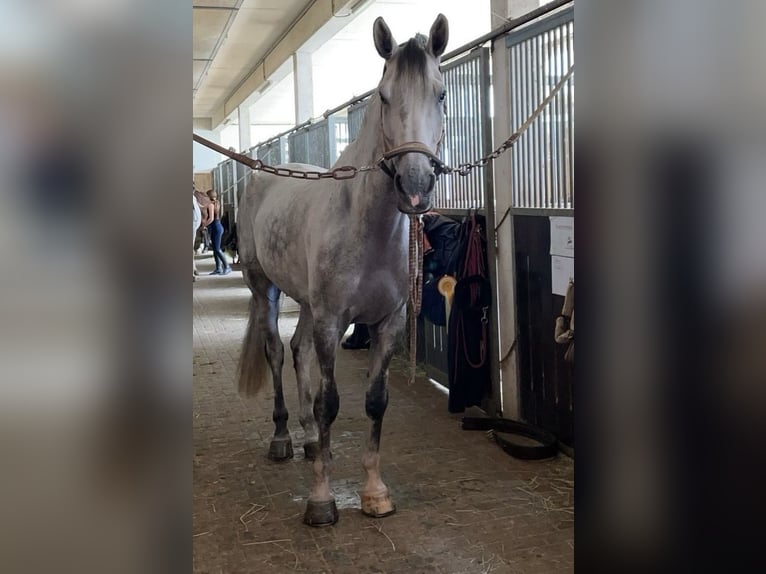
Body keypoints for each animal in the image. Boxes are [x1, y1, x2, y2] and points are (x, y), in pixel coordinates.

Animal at [236, 14, 449, 527]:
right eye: (384, 96)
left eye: (440, 94)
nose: (415, 187)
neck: (365, 226)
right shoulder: (333, 321)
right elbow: (329, 402)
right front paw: (321, 501)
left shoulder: (387, 323)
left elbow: (375, 401)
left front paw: (374, 493)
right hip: (265, 289)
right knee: (277, 352)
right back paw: (283, 439)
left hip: (308, 304)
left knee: (298, 352)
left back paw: (312, 441)